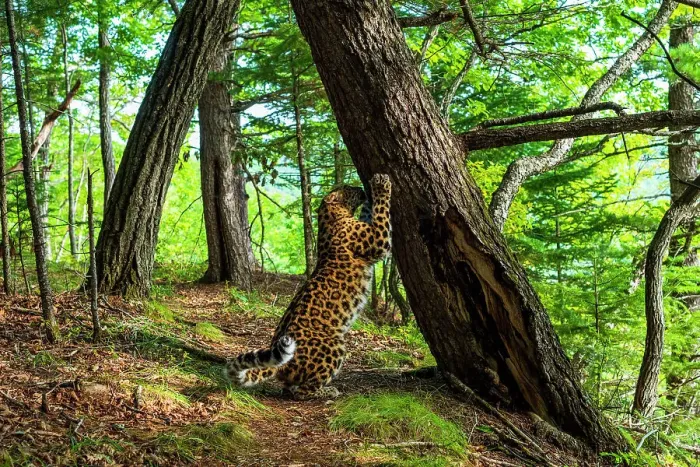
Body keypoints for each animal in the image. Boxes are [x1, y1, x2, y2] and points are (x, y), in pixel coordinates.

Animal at [224, 173, 392, 399]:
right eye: (348, 188)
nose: (359, 187)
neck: (328, 219)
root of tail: (281, 365)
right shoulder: (377, 240)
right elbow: (382, 214)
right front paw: (381, 185)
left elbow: (369, 213)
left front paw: (371, 192)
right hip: (335, 344)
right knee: (302, 392)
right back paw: (328, 391)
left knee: (289, 388)